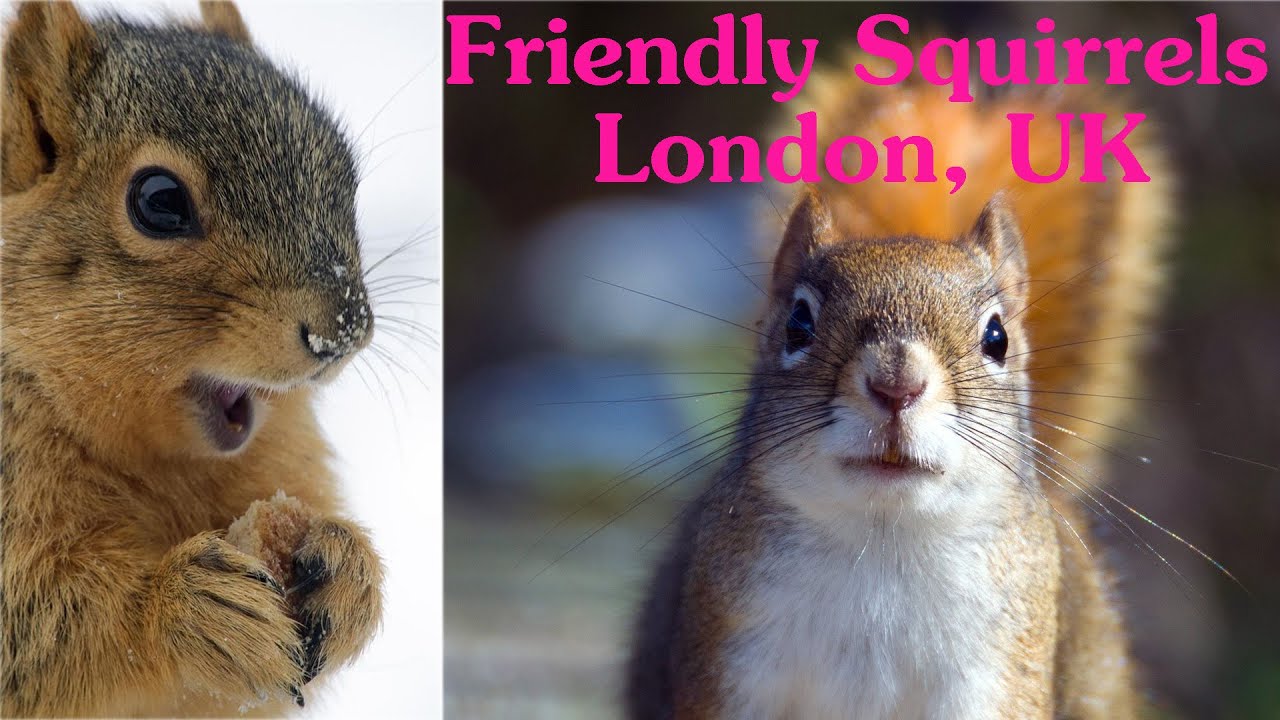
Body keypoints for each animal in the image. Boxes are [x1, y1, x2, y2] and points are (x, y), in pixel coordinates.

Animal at [1, 2, 384, 716]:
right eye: (159, 200)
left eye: (345, 174)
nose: (343, 331)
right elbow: (36, 627)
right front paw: (184, 607)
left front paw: (347, 568)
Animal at [626, 51, 1172, 719]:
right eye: (798, 322)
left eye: (997, 338)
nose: (896, 383)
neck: (884, 542)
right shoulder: (729, 662)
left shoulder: (998, 679)